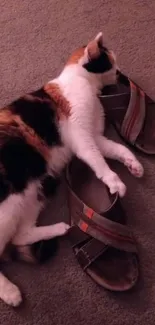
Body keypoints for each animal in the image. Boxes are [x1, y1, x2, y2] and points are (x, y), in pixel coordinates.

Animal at [0, 32, 143, 306]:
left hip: (34, 192)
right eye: (112, 63)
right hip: (8, 206)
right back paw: (10, 292)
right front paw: (115, 182)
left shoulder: (95, 136)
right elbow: (98, 161)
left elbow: (117, 149)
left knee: (19, 236)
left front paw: (133, 164)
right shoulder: (82, 137)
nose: (121, 73)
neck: (84, 83)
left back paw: (59, 229)